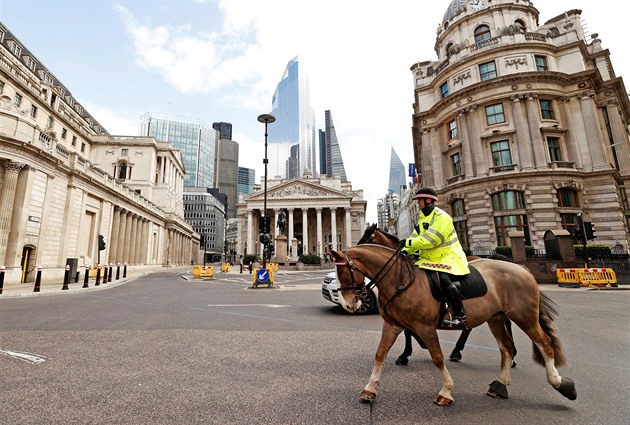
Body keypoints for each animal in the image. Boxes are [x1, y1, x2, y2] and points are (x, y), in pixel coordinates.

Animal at [330, 242, 576, 404]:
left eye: (342, 270)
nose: (348, 304)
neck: (399, 279)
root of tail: (522, 268)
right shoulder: (392, 325)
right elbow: (380, 354)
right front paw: (370, 389)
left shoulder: (426, 327)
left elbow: (437, 358)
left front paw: (446, 391)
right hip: (496, 318)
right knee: (506, 347)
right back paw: (500, 384)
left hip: (524, 316)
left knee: (545, 343)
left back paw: (559, 382)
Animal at [360, 224, 520, 366]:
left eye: (367, 239)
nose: (355, 249)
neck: (402, 271)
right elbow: (407, 330)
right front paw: (411, 350)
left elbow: (408, 331)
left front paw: (408, 352)